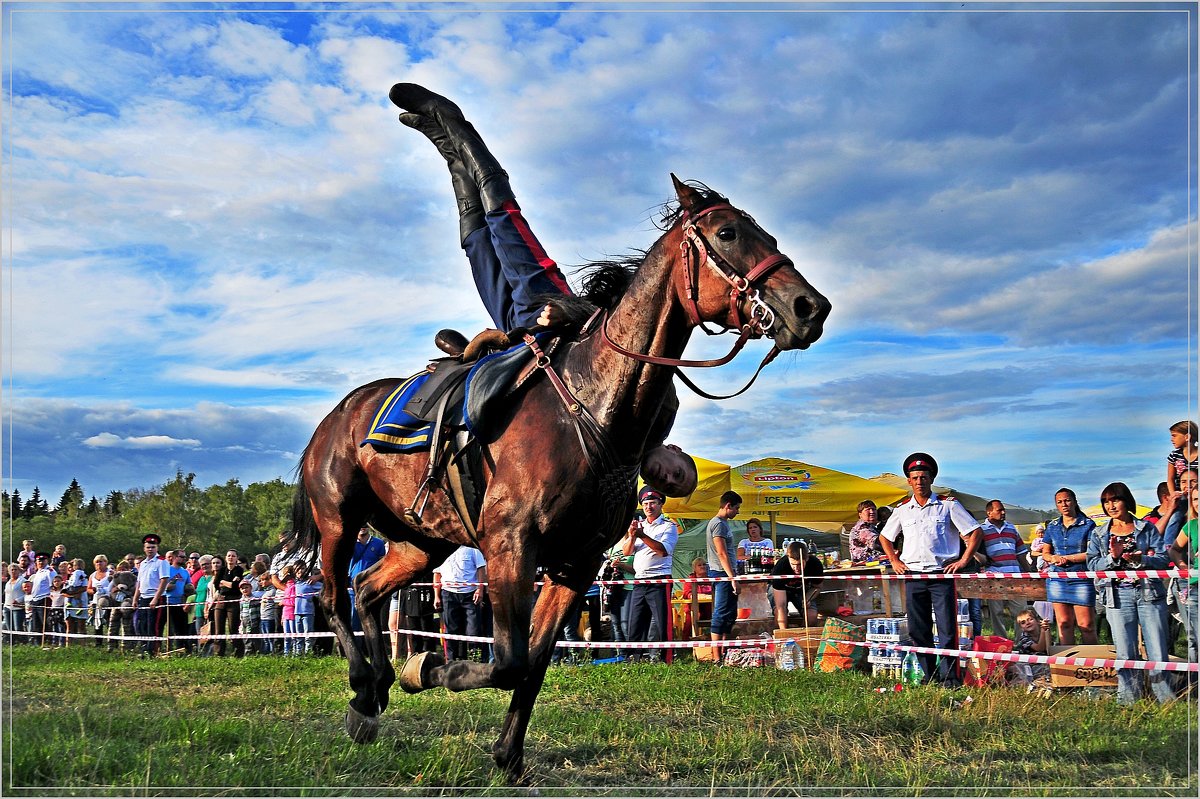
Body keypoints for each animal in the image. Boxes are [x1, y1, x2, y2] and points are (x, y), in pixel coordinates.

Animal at [295, 176, 830, 777]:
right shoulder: (511, 546)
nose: (811, 307)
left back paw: (374, 691)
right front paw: (428, 668)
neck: (592, 404)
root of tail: (337, 415)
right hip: (339, 521)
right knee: (336, 596)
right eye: (728, 233)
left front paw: (506, 757)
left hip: (421, 542)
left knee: (366, 589)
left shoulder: (577, 565)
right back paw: (367, 683)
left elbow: (531, 665)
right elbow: (507, 661)